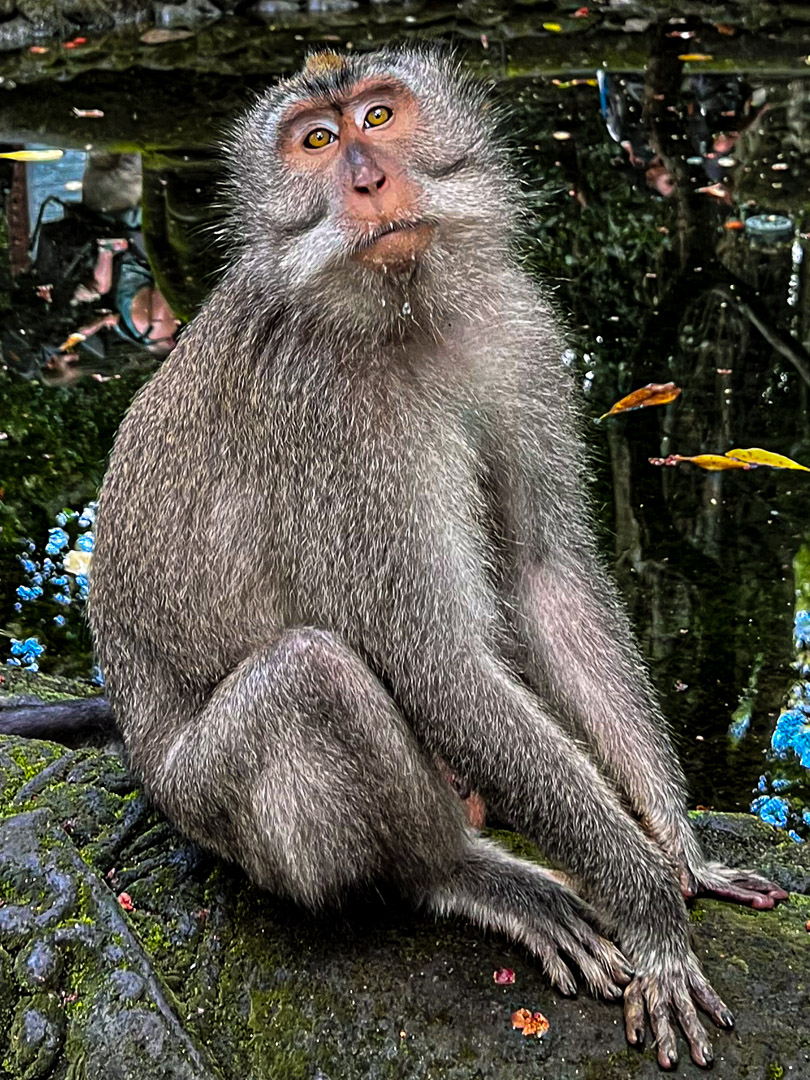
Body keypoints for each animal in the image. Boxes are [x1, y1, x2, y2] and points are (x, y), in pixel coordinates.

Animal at [85, 48, 787, 1071]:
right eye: (317, 141)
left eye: (378, 116)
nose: (368, 180)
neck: (404, 311)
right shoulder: (336, 418)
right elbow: (436, 662)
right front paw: (653, 915)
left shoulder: (520, 333)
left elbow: (545, 576)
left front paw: (678, 847)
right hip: (209, 807)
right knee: (314, 677)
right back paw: (462, 873)